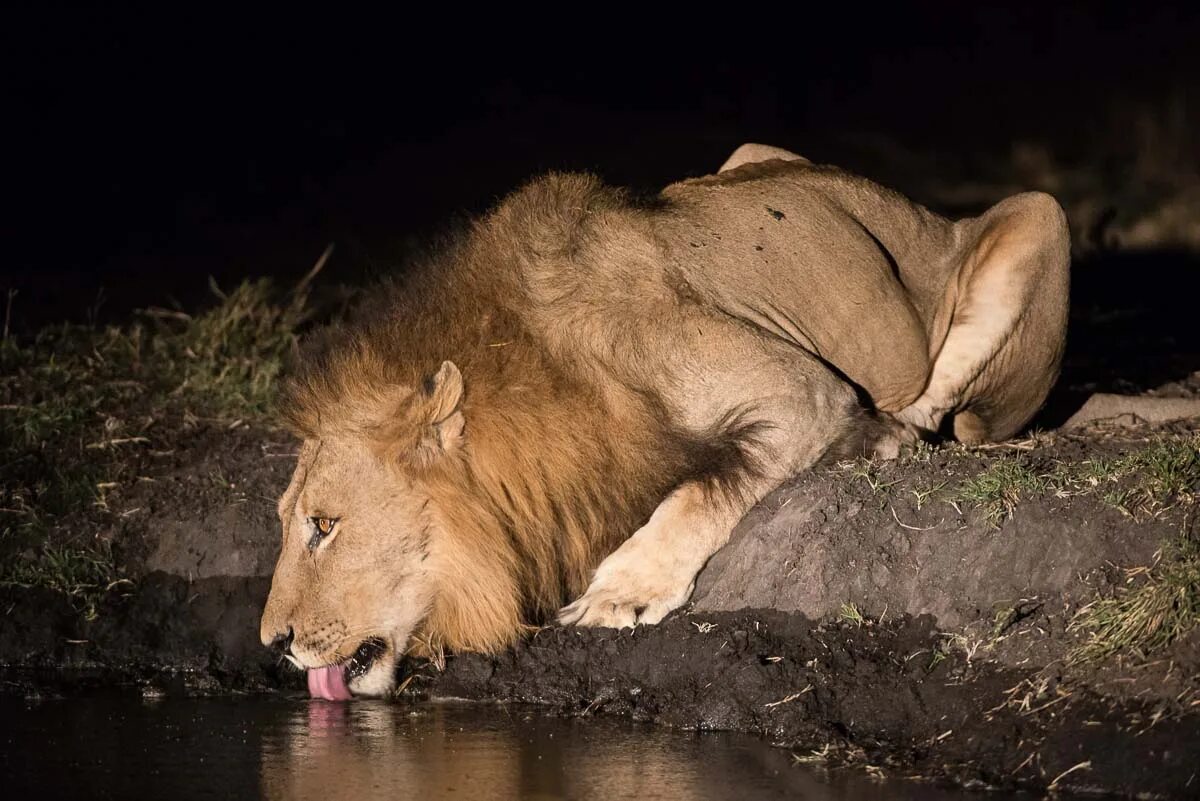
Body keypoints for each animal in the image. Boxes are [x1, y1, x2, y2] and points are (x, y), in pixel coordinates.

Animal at [262, 145, 1070, 700]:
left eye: (324, 525)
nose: (274, 642)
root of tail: (925, 211)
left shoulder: (799, 390)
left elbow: (703, 487)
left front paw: (619, 592)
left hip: (1041, 215)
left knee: (943, 404)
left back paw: (887, 435)